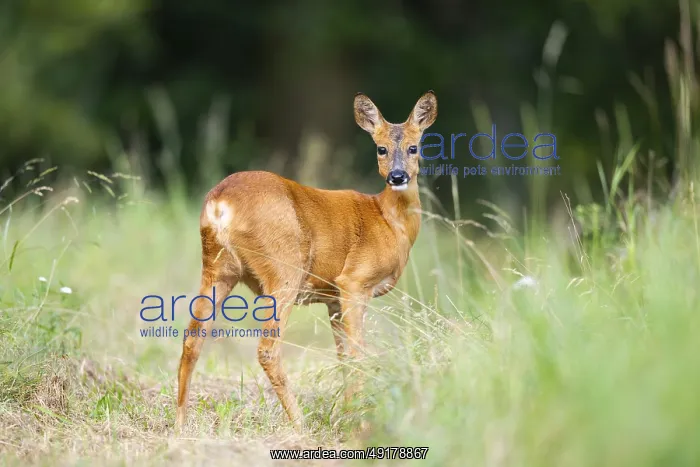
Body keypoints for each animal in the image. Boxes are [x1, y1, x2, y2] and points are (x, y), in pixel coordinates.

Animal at [175, 91, 438, 431]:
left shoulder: (333, 299)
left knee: (192, 338)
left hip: (216, 268)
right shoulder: (354, 281)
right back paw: (300, 424)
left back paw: (179, 425)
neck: (388, 220)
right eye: (381, 148)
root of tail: (219, 203)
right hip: (283, 269)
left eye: (413, 147)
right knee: (268, 349)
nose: (397, 176)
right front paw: (358, 419)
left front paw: (348, 411)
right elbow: (358, 354)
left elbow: (343, 356)